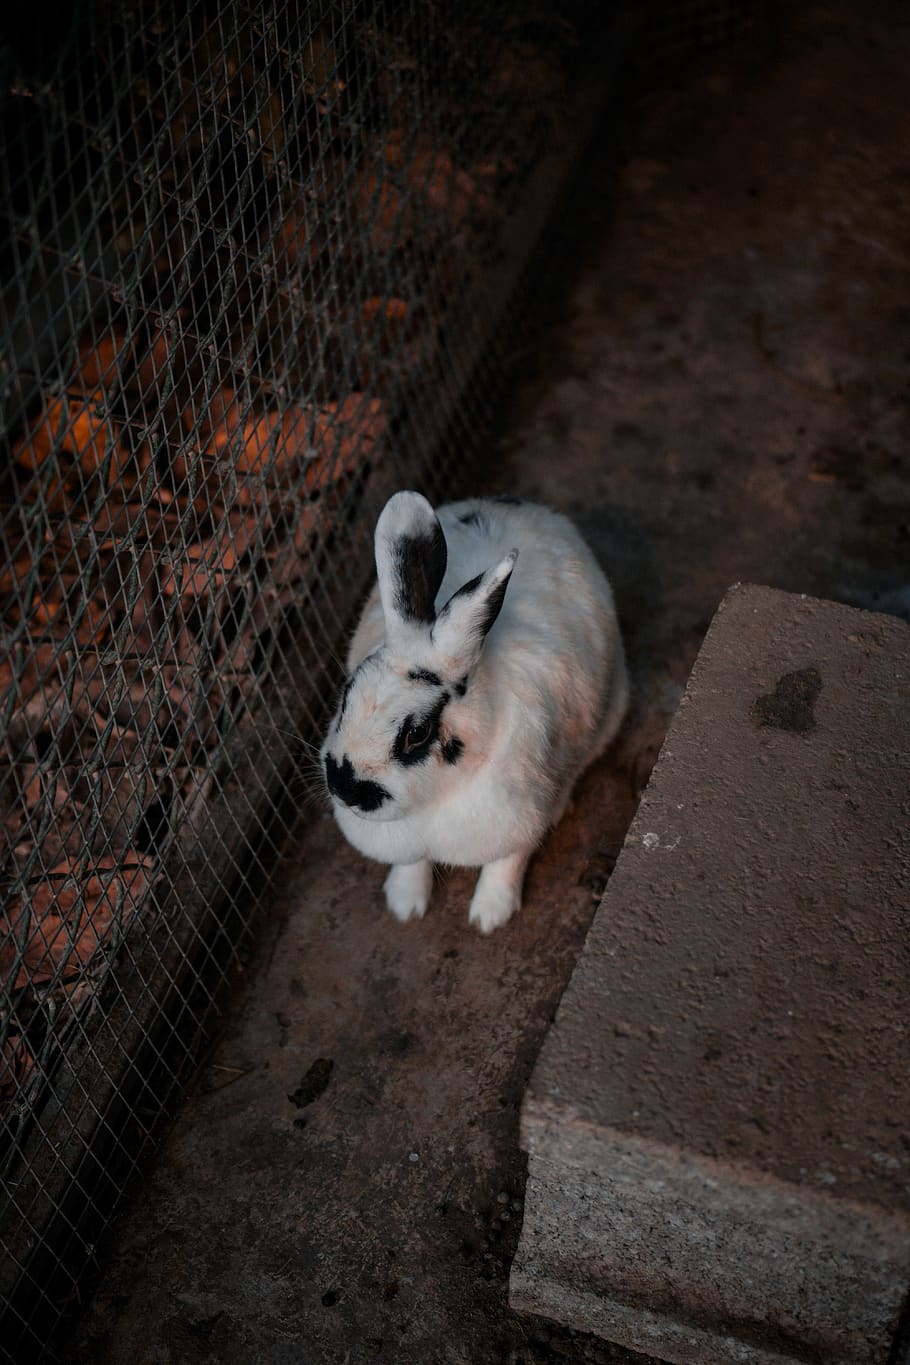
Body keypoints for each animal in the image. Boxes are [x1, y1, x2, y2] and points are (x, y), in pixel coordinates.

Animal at [320, 491, 628, 933]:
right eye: (347, 693)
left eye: (417, 733)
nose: (345, 788)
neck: (434, 800)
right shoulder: (405, 842)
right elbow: (411, 864)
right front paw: (404, 904)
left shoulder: (516, 822)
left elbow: (506, 864)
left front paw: (489, 916)